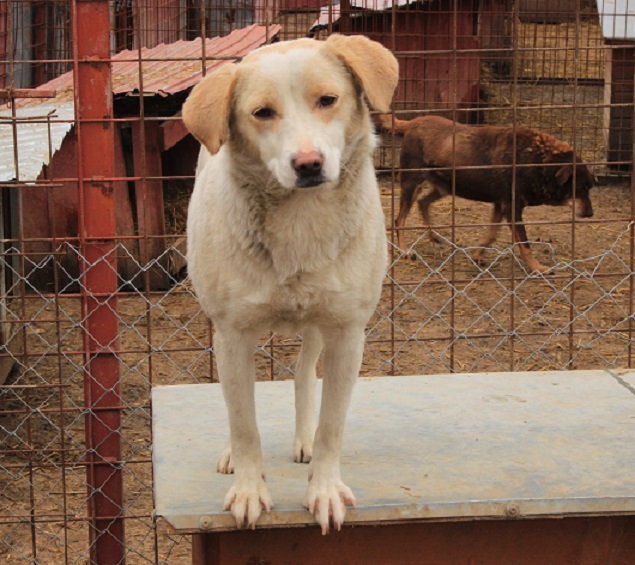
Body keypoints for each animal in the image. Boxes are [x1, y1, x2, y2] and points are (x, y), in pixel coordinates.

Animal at [181, 34, 398, 532]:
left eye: (328, 100)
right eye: (262, 112)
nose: (309, 164)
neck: (302, 222)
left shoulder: (347, 332)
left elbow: (332, 425)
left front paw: (324, 488)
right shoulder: (233, 335)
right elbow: (244, 422)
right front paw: (248, 489)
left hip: (318, 327)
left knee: (302, 375)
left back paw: (305, 443)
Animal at [382, 113, 596, 272]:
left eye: (589, 187)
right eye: (581, 188)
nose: (590, 214)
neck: (537, 160)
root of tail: (411, 123)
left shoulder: (500, 205)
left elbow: (491, 234)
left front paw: (477, 255)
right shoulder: (511, 207)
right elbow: (524, 244)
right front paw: (538, 268)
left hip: (445, 187)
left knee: (423, 203)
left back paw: (434, 236)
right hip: (413, 184)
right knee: (399, 220)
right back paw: (405, 251)